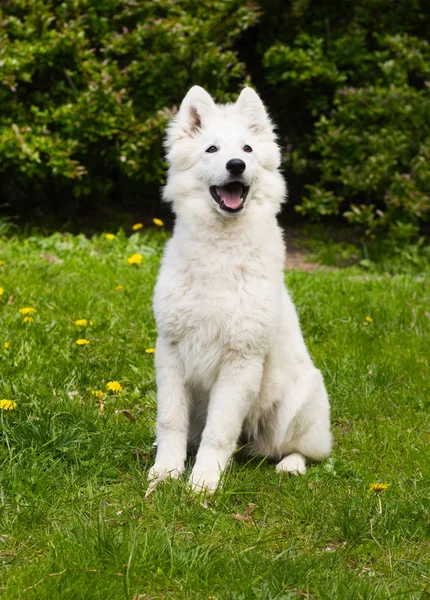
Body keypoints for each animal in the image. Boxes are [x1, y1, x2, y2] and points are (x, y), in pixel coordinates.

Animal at [149, 85, 332, 492]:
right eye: (212, 149)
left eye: (247, 149)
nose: (236, 165)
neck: (220, 252)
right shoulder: (170, 353)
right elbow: (170, 422)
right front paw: (165, 473)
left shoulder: (240, 362)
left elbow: (219, 433)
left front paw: (203, 482)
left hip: (297, 404)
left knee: (303, 450)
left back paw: (290, 466)